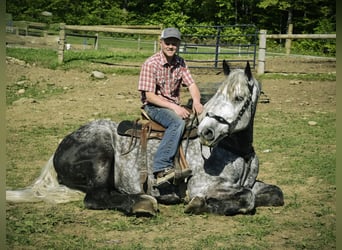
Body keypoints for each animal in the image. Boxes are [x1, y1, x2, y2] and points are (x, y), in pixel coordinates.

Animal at [6, 59, 284, 216]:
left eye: (239, 97)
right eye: (217, 95)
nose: (207, 131)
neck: (236, 151)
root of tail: (61, 146)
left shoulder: (252, 183)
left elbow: (273, 193)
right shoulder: (202, 186)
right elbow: (246, 198)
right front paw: (200, 205)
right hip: (101, 158)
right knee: (95, 198)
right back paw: (142, 203)